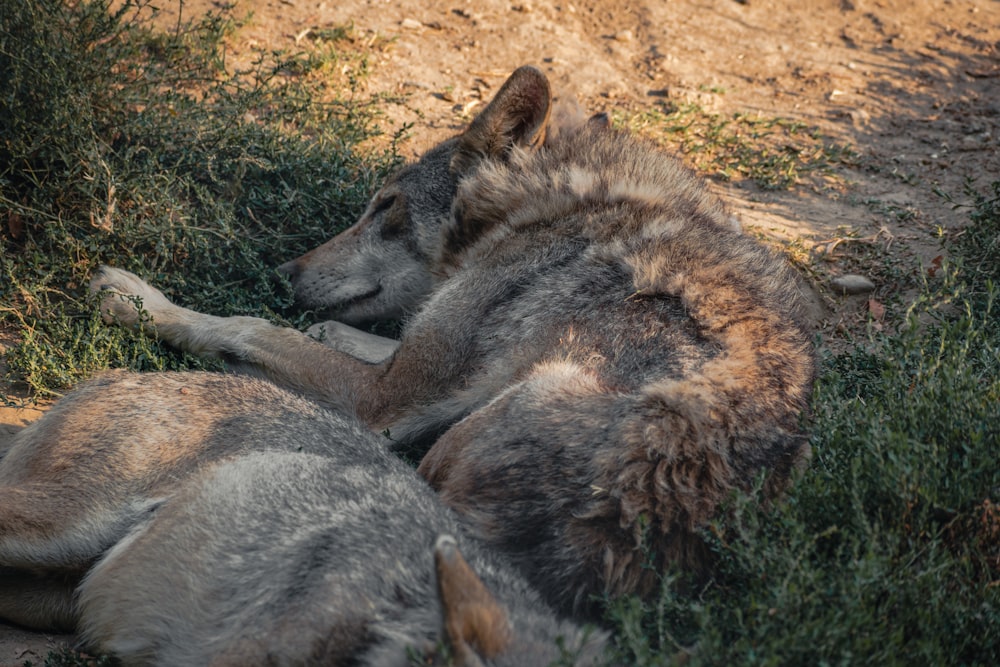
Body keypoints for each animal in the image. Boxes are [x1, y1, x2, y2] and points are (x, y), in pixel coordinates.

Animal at [90, 65, 816, 620]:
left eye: (385, 207)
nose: (284, 272)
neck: (566, 206)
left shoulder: (384, 400)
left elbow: (246, 326)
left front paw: (136, 299)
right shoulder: (421, 368)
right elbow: (366, 337)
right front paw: (330, 327)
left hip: (510, 403)